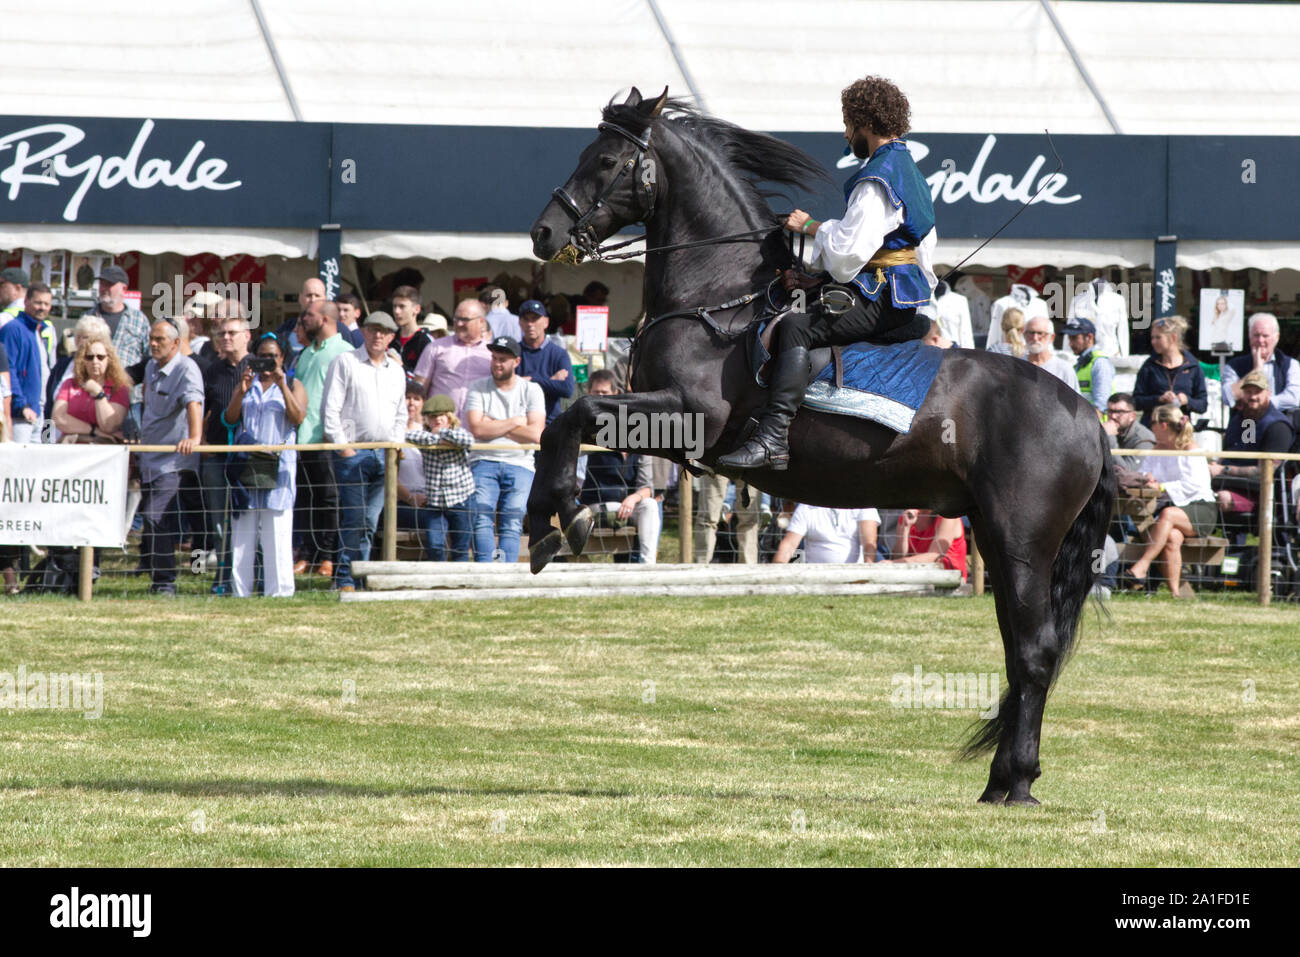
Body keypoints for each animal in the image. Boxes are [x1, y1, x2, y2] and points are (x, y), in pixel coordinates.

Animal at [522, 91, 1112, 806]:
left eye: (607, 161)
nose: (544, 233)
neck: (718, 300)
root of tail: (1088, 418)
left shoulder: (685, 417)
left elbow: (571, 414)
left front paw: (557, 519)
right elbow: (562, 423)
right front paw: (550, 520)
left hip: (1023, 541)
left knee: (1033, 652)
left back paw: (1016, 782)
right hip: (1000, 541)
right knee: (1019, 649)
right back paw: (1001, 780)